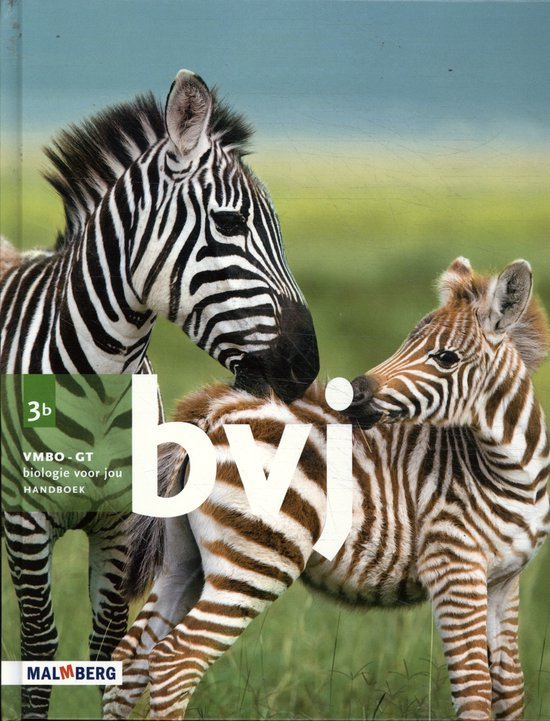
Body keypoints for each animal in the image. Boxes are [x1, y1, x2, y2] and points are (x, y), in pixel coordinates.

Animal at [0, 69, 319, 718]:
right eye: (229, 224)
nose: (308, 366)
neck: (100, 380)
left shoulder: (122, 524)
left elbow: (107, 645)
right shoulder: (25, 523)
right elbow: (39, 643)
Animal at [103, 257, 549, 720]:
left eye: (446, 358)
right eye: (407, 342)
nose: (351, 396)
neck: (512, 474)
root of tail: (214, 412)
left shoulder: (504, 581)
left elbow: (509, 692)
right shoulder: (453, 568)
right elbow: (476, 693)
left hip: (182, 559)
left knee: (129, 661)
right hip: (256, 560)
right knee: (175, 662)